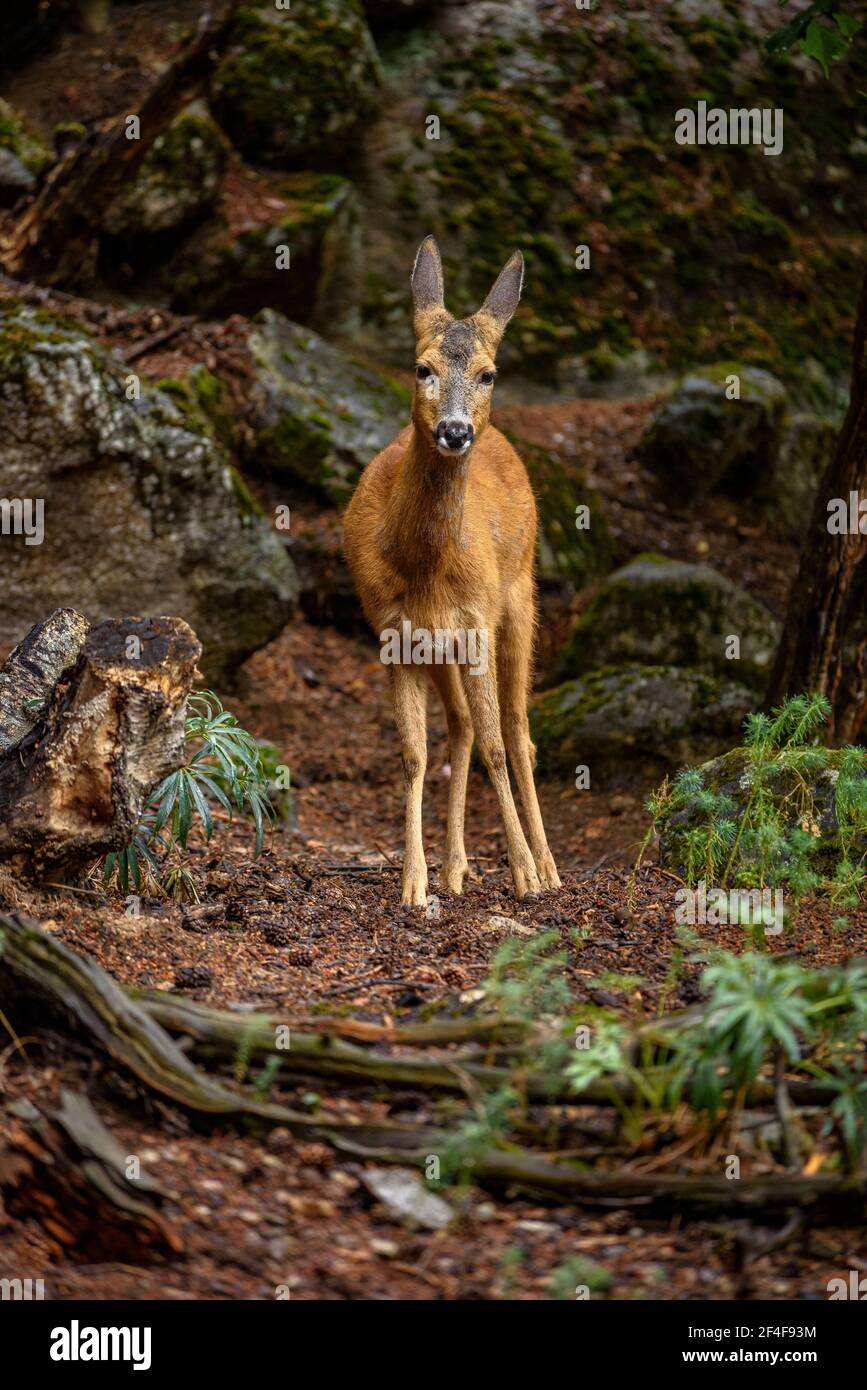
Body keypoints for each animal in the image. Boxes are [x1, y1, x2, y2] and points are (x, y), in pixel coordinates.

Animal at [341, 236, 558, 911]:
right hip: (441, 647)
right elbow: (414, 754)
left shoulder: (479, 623)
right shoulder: (395, 633)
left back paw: (548, 868)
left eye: (488, 373)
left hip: (520, 602)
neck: (428, 567)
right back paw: (455, 868)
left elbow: (496, 745)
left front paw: (524, 876)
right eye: (421, 367)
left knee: (516, 731)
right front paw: (413, 882)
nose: (455, 431)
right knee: (461, 726)